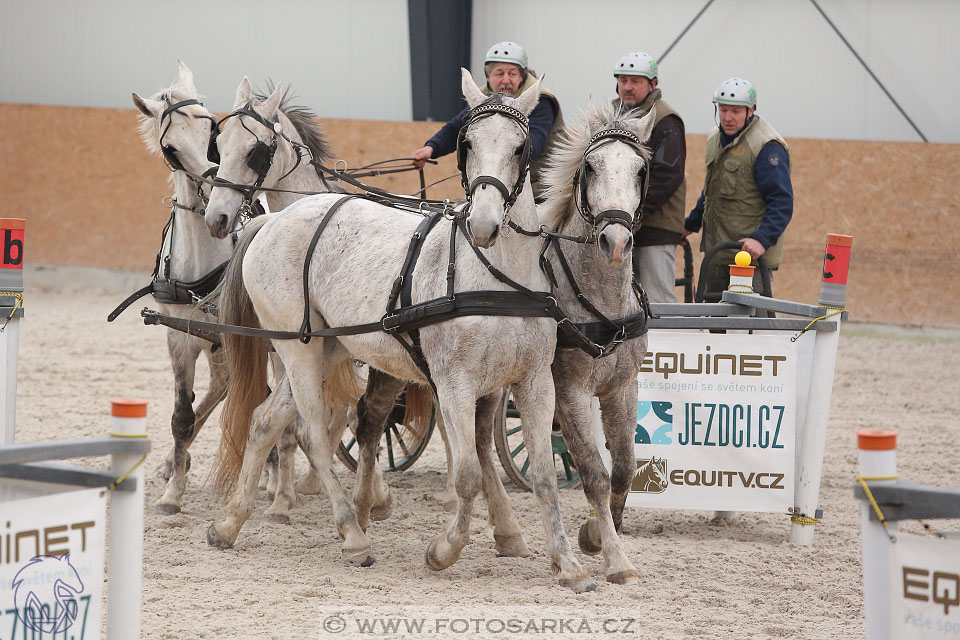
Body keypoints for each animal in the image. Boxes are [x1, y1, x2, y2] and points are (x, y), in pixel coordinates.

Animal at [202, 69, 592, 592]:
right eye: (468, 142)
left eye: (519, 148)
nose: (484, 224)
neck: (496, 275)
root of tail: (274, 219)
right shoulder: (454, 383)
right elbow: (467, 472)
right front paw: (444, 549)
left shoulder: (532, 382)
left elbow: (545, 476)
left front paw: (568, 564)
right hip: (298, 351)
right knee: (313, 433)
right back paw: (352, 534)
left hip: (327, 347)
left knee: (267, 423)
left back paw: (230, 522)